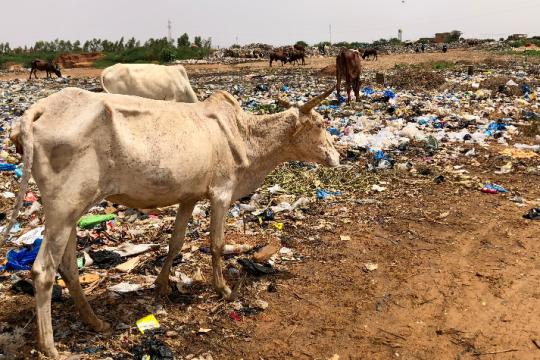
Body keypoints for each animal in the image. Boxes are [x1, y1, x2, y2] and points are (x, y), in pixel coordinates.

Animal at [4, 85, 340, 358]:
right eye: (320, 124)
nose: (337, 158)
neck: (245, 135)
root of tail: (37, 110)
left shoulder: (189, 197)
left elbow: (176, 242)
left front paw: (162, 285)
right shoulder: (222, 192)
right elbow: (216, 244)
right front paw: (224, 290)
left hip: (70, 211)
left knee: (68, 267)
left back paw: (96, 322)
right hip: (65, 206)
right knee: (43, 271)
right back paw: (50, 347)